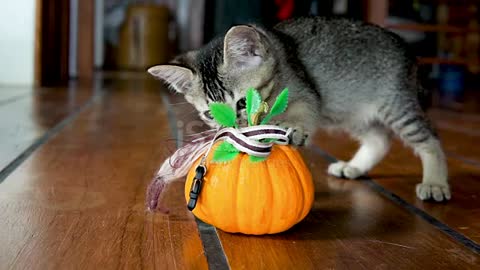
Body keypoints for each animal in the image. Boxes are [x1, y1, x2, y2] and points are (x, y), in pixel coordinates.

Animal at [147, 16, 450, 201]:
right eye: (210, 115)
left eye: (243, 102)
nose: (235, 131)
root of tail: (406, 47)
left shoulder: (308, 92)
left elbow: (303, 110)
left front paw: (294, 127)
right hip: (351, 112)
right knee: (380, 139)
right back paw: (354, 167)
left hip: (395, 104)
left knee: (430, 139)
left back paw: (435, 183)